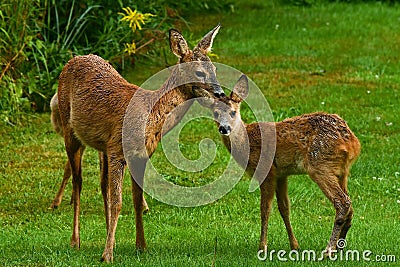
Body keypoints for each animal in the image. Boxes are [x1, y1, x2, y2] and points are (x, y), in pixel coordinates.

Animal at [57, 25, 225, 264]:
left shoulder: (141, 155)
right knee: (78, 182)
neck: (150, 116)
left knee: (102, 185)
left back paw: (108, 237)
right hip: (69, 131)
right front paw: (107, 256)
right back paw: (76, 240)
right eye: (199, 72)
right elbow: (118, 202)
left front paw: (141, 246)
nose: (220, 93)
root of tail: (74, 59)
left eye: (214, 70)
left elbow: (136, 200)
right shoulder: (118, 150)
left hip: (102, 147)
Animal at [211, 75, 360, 258]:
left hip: (320, 166)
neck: (248, 143)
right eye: (215, 113)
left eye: (233, 112)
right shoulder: (282, 175)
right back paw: (340, 246)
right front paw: (294, 246)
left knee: (342, 202)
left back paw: (328, 250)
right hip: (342, 171)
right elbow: (284, 208)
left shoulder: (266, 172)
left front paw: (262, 248)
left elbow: (265, 209)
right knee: (350, 205)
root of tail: (352, 141)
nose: (224, 128)